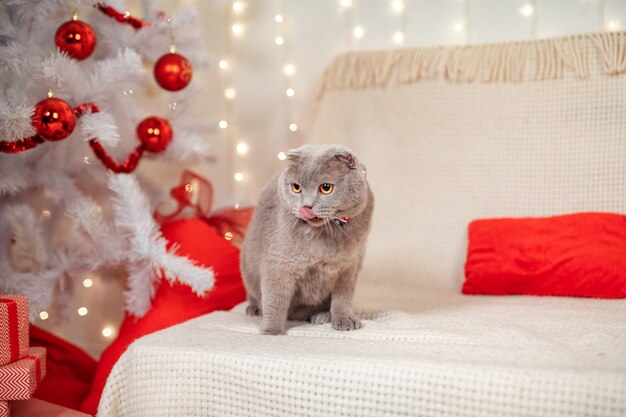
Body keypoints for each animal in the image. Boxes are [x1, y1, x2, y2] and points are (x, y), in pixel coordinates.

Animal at [240, 144, 370, 334]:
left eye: (326, 187)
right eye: (296, 187)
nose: (306, 207)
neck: (322, 235)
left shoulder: (349, 267)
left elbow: (343, 297)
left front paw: (344, 319)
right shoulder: (279, 264)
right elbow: (275, 298)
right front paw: (271, 331)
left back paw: (321, 316)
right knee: (255, 294)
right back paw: (255, 309)